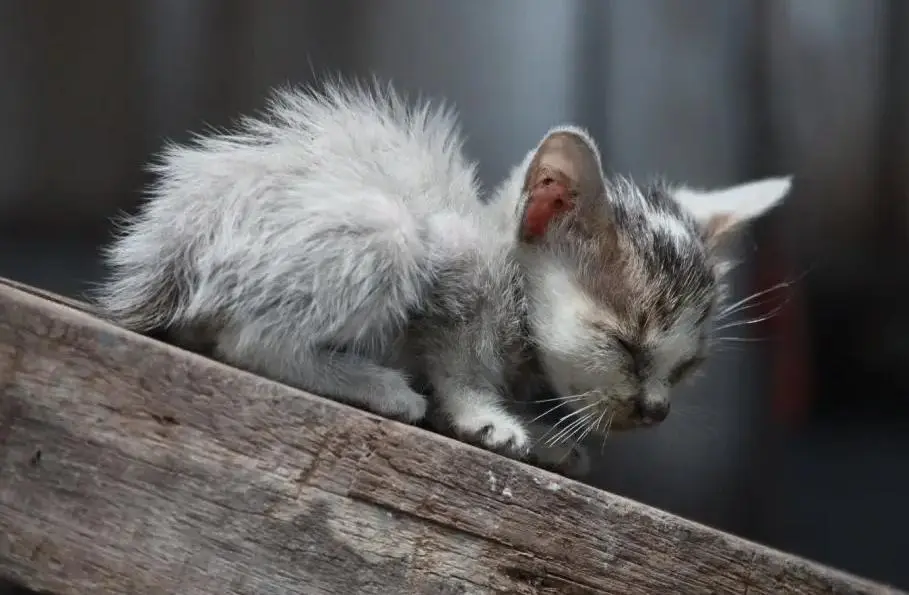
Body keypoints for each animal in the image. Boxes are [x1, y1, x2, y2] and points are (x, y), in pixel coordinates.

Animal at [94, 81, 788, 466]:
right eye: (624, 345)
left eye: (688, 367)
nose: (656, 411)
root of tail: (168, 249)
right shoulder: (457, 263)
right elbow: (458, 358)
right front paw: (486, 416)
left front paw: (546, 433)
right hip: (389, 233)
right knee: (247, 341)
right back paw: (378, 386)